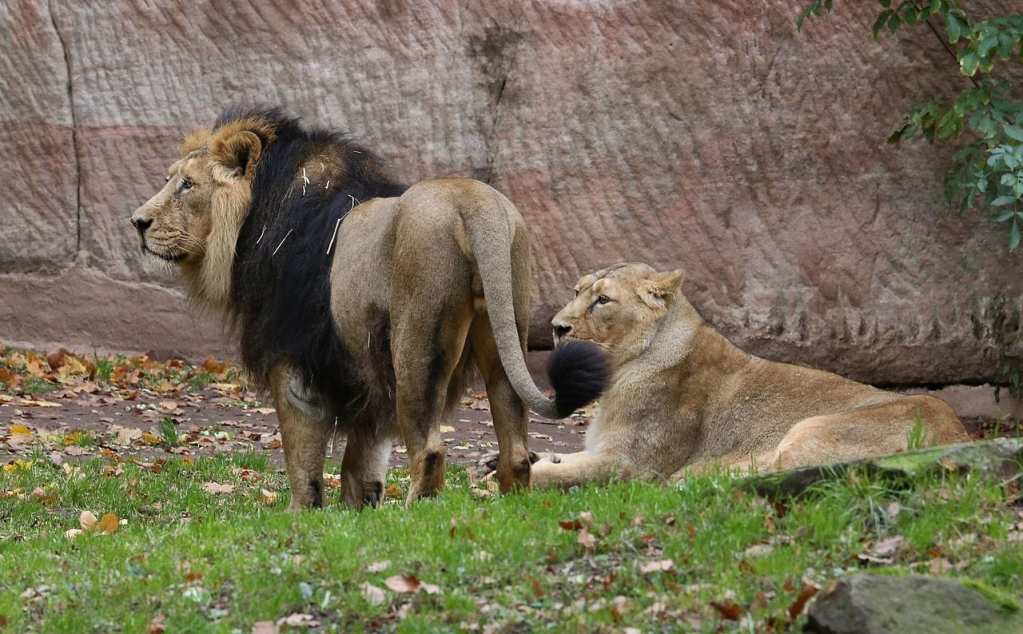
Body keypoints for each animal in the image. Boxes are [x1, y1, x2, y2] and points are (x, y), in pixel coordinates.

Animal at [130, 106, 606, 509]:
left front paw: (303, 514)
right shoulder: (366, 368)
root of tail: (474, 203)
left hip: (416, 343)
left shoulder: (294, 359)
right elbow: (364, 457)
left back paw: (413, 514)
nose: (137, 222)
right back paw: (510, 506)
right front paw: (359, 513)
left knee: (431, 450)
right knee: (516, 448)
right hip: (503, 328)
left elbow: (302, 456)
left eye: (187, 184)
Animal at [525, 262, 970, 488]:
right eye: (577, 290)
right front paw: (535, 455)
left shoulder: (630, 464)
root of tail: (959, 438)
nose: (557, 327)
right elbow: (566, 459)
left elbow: (562, 474)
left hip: (812, 427)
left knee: (776, 472)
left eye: (602, 300)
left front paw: (526, 473)